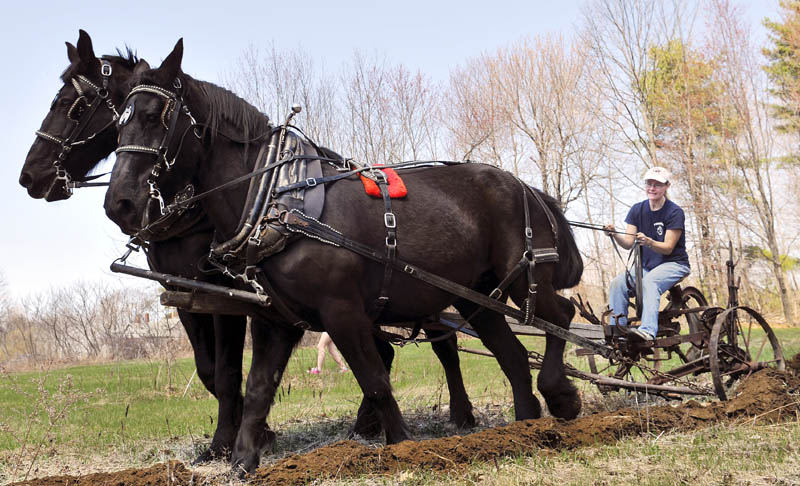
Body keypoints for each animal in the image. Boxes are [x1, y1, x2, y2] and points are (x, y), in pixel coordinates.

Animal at [20, 31, 476, 464]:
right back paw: (367, 425)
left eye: (72, 105)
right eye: (119, 125)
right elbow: (209, 371)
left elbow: (225, 374)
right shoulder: (188, 296)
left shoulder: (230, 300)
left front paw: (235, 439)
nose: (30, 176)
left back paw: (461, 415)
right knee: (389, 349)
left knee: (442, 344)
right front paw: (243, 437)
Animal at [104, 40, 580, 474]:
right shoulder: (274, 320)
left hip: (522, 277)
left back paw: (560, 395)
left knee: (561, 315)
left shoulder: (342, 312)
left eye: (154, 116)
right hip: (473, 295)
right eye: (117, 125)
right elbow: (259, 389)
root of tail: (526, 187)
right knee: (512, 356)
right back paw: (525, 429)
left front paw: (405, 448)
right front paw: (241, 463)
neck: (276, 203)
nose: (119, 203)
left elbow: (376, 381)